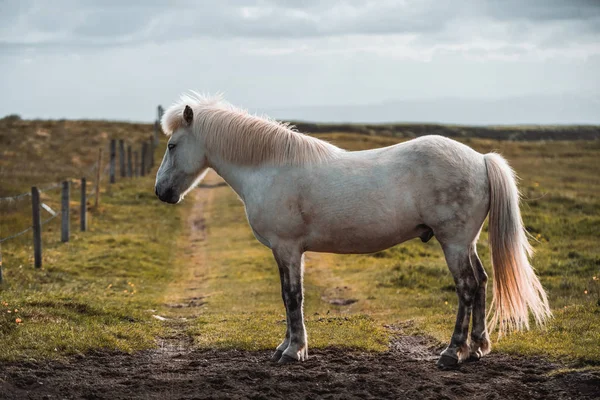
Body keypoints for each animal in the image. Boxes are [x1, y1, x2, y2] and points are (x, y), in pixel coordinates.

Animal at [156, 93, 552, 368]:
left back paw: (452, 353)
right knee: (482, 282)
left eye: (173, 145)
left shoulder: (287, 248)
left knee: (467, 287)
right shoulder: (288, 252)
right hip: (466, 243)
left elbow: (292, 297)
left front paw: (293, 351)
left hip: (453, 242)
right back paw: (477, 348)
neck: (270, 167)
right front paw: (286, 347)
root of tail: (481, 159)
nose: (162, 192)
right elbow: (289, 297)